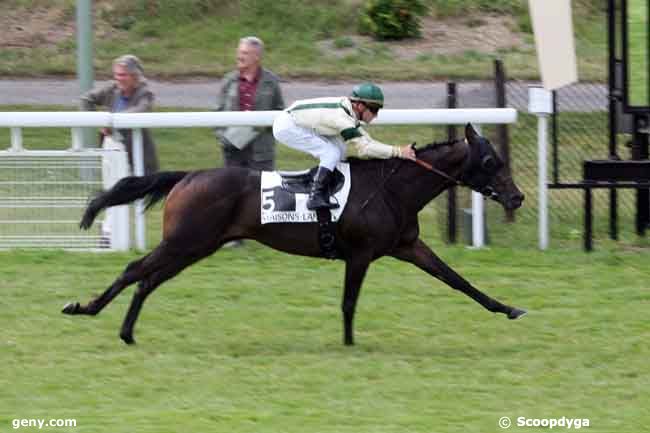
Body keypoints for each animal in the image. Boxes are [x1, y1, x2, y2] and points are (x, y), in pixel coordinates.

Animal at [63, 124, 524, 344]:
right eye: (490, 162)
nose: (517, 197)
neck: (392, 187)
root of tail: (189, 175)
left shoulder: (408, 246)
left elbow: (458, 281)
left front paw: (508, 308)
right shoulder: (361, 254)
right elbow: (349, 302)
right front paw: (350, 343)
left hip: (194, 247)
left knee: (148, 280)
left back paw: (127, 332)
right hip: (185, 241)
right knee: (134, 269)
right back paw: (84, 308)